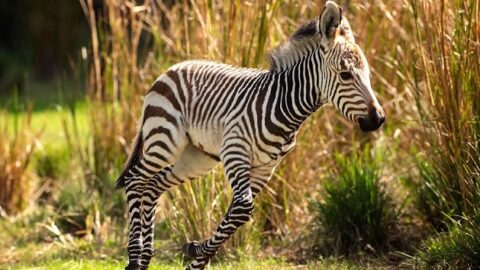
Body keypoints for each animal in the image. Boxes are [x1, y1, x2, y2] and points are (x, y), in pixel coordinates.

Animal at [116, 2, 386, 270]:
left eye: (368, 75)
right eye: (345, 75)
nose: (379, 119)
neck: (284, 107)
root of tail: (171, 69)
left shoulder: (266, 168)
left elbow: (236, 213)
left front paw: (195, 254)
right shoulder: (235, 151)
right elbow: (243, 208)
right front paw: (195, 251)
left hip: (197, 157)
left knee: (153, 185)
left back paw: (145, 258)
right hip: (165, 140)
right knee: (135, 179)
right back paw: (135, 256)